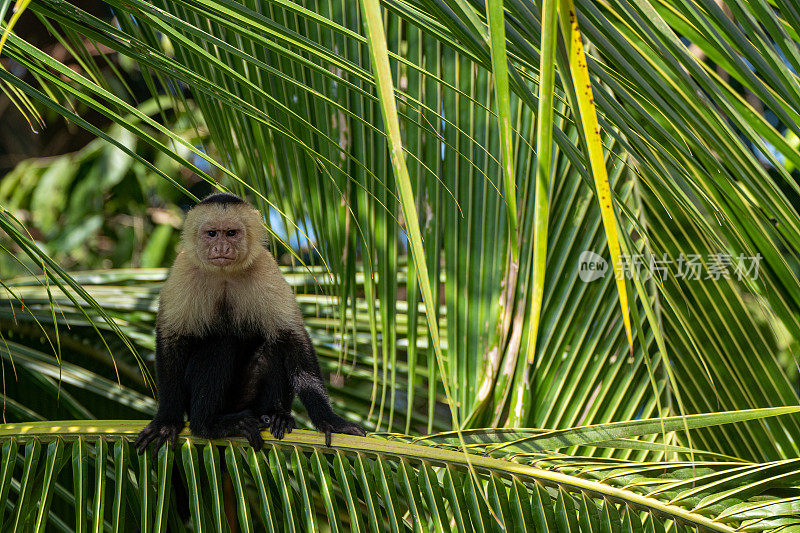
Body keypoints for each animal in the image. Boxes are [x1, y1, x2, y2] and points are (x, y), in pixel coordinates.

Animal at [135, 193, 366, 450]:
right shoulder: (183, 271)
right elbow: (172, 339)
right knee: (221, 343)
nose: (221, 247)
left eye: (231, 233)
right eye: (212, 233)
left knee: (273, 345)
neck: (224, 275)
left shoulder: (265, 268)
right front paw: (167, 421)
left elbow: (293, 337)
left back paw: (274, 414)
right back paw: (207, 424)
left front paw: (329, 420)